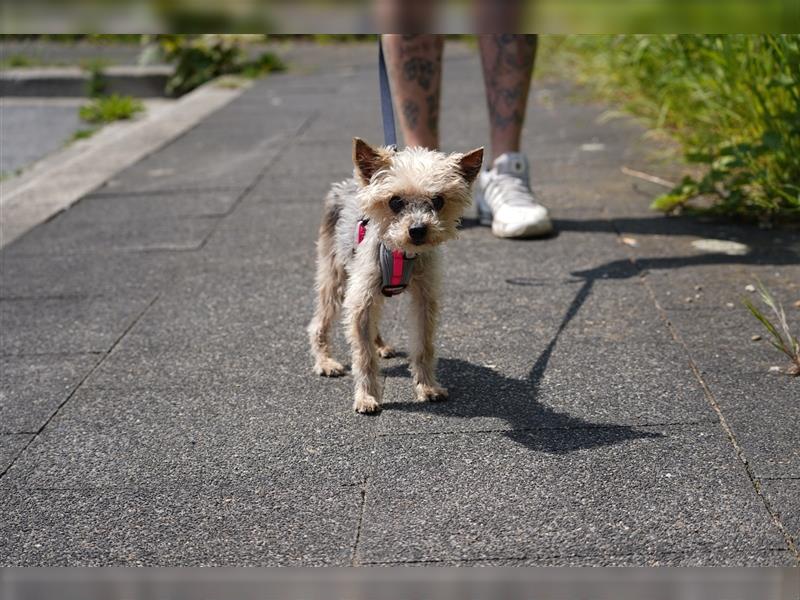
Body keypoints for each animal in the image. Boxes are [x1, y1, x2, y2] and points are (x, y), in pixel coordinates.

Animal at [308, 139, 482, 412]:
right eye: (395, 201)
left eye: (438, 200)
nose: (418, 229)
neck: (403, 252)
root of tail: (346, 185)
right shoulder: (361, 298)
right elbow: (364, 356)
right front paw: (367, 397)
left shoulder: (424, 299)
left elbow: (424, 346)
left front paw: (427, 387)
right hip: (334, 275)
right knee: (320, 321)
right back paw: (325, 362)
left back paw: (380, 345)